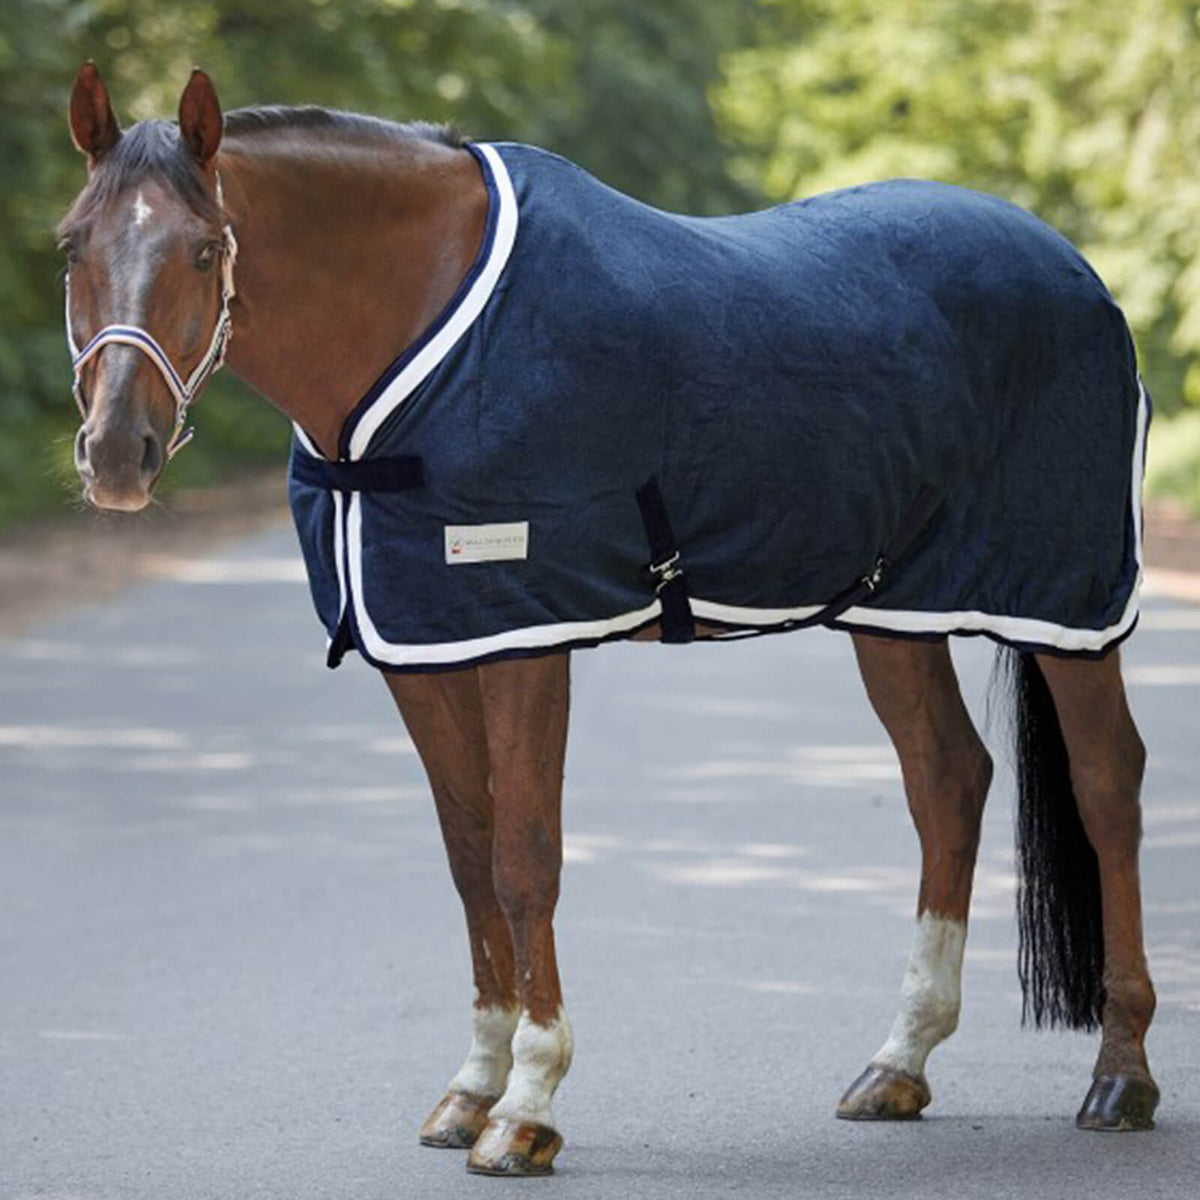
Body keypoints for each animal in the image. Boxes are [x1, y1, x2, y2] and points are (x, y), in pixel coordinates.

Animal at [59, 62, 1158, 1176]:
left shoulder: (524, 637)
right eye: (72, 246)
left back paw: (1121, 1075)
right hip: (895, 612)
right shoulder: (423, 649)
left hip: (1069, 598)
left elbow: (523, 861)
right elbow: (468, 858)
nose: (116, 454)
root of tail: (1072, 267)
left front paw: (527, 1108)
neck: (420, 325)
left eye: (205, 249)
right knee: (948, 781)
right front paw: (472, 1087)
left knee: (1108, 784)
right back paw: (899, 1063)